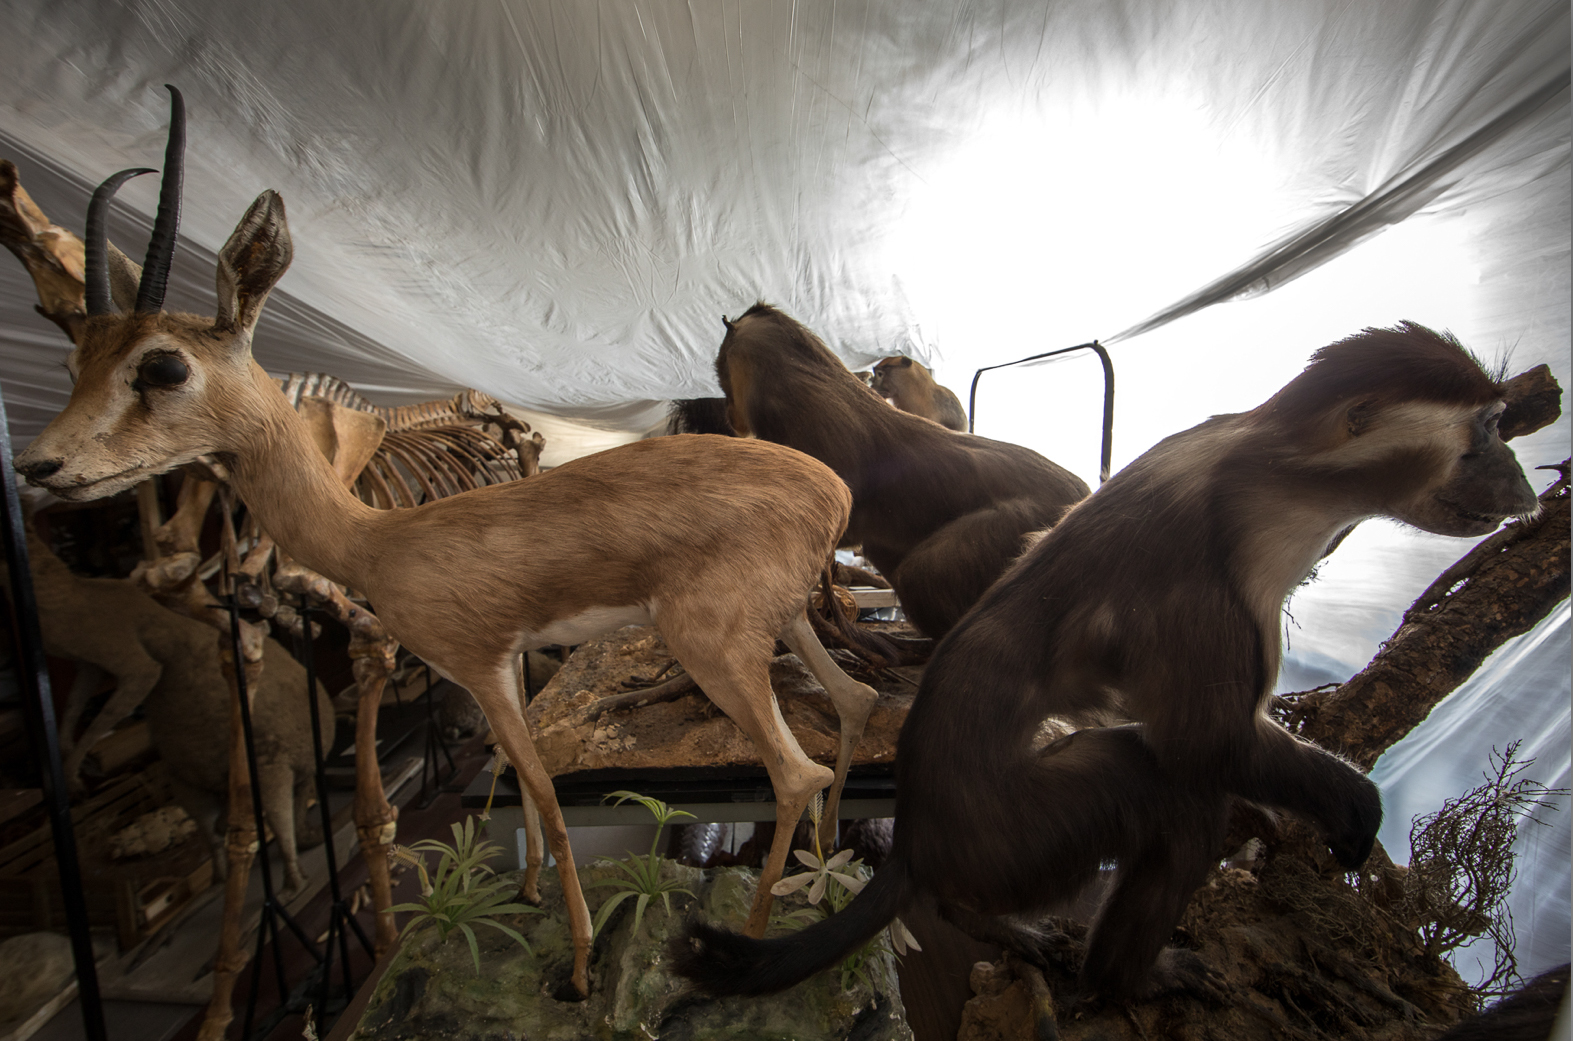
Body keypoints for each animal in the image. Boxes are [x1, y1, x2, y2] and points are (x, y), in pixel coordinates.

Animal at [673, 323, 1535, 1006]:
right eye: (1487, 431)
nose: (1524, 484)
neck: (1264, 471)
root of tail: (919, 836)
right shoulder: (1209, 590)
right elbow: (1204, 744)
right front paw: (1352, 808)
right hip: (1019, 834)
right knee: (1165, 790)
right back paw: (1123, 978)